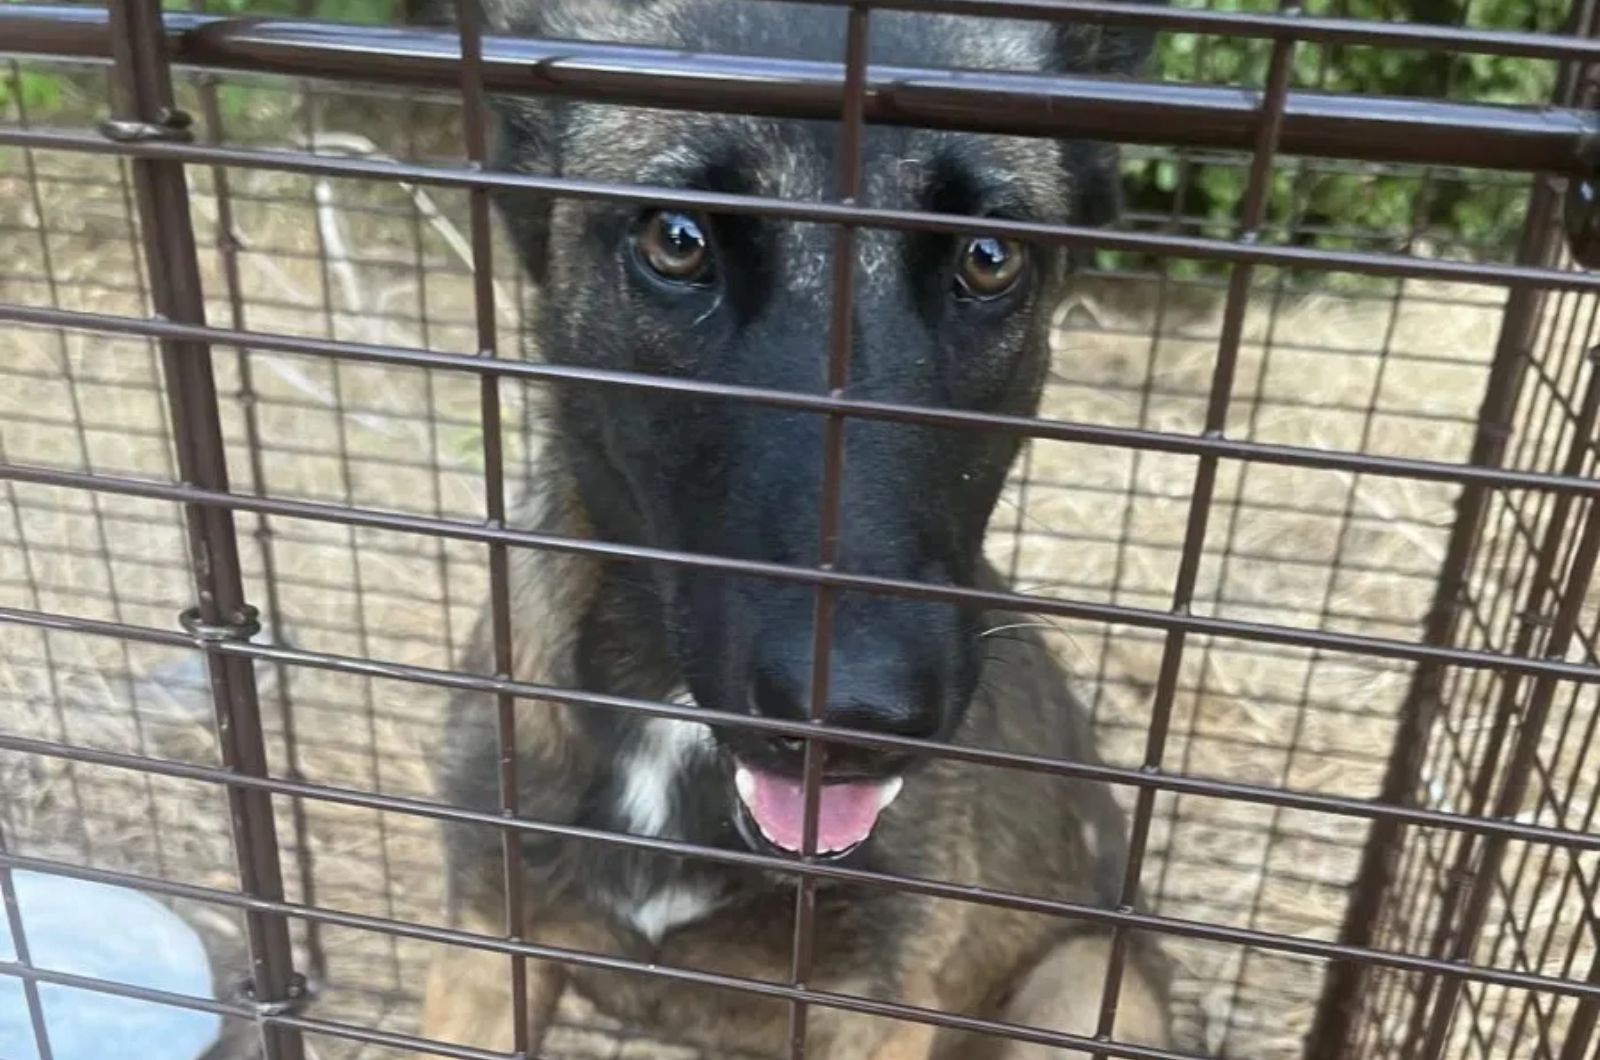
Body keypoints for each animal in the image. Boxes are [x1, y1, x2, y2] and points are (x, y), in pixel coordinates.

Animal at [419, 4, 1184, 1056]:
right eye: (677, 241)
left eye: (989, 258)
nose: (855, 719)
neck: (673, 722)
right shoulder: (484, 950)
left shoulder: (877, 1010)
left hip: (1080, 990)